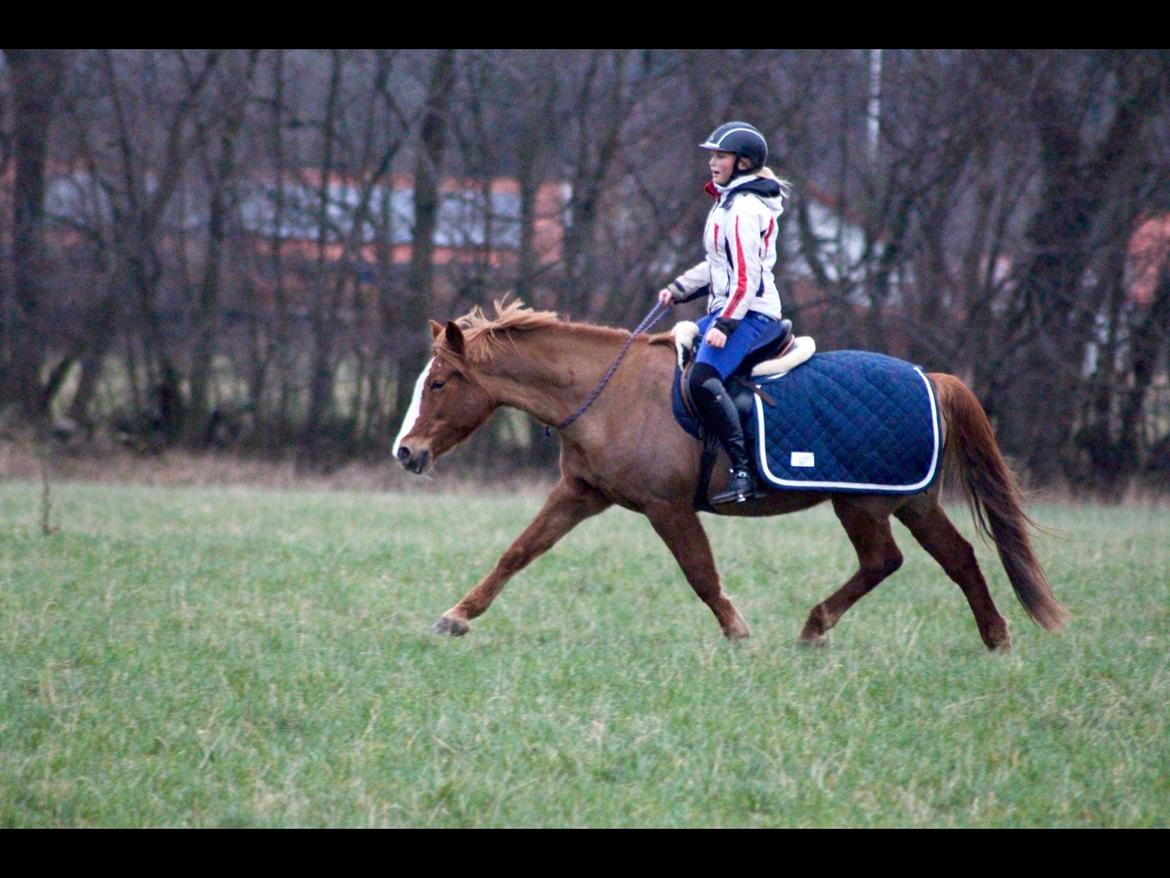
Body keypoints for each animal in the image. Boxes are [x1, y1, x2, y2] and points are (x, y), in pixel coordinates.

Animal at [393, 300, 1068, 651]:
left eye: (440, 383)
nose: (406, 453)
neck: (607, 393)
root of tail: (931, 377)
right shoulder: (581, 494)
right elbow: (517, 553)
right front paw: (456, 616)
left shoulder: (667, 508)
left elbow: (701, 573)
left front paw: (740, 635)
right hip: (908, 502)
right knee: (955, 558)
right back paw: (995, 639)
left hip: (864, 504)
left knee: (887, 561)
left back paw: (815, 627)